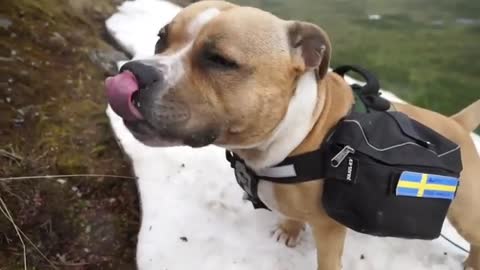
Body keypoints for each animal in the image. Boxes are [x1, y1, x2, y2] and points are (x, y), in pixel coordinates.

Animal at [106, 1, 480, 268]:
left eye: (220, 60)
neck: (297, 133)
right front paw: (289, 230)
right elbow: (291, 215)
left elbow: (327, 260)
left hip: (465, 210)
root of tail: (457, 123)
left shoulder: (329, 229)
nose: (135, 71)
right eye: (161, 38)